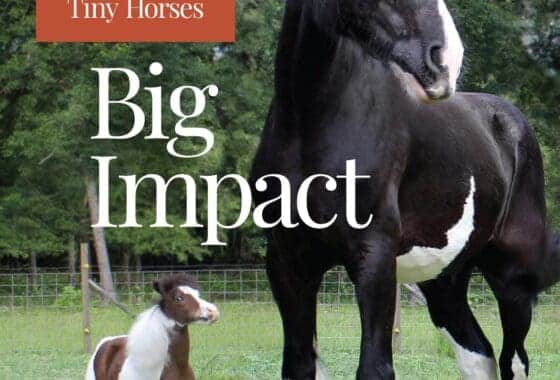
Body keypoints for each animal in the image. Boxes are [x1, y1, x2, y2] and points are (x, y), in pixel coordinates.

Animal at [252, 0, 560, 380]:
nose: (446, 61)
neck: (308, 129)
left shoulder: (374, 259)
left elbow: (375, 368)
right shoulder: (287, 263)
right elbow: (299, 364)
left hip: (512, 279)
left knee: (512, 360)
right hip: (445, 280)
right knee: (479, 355)